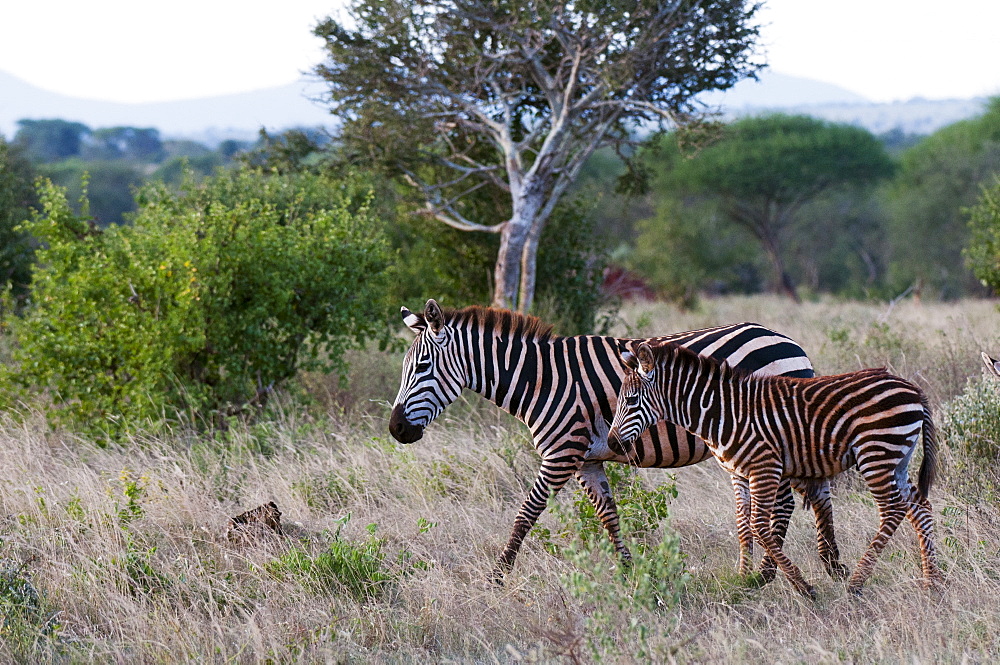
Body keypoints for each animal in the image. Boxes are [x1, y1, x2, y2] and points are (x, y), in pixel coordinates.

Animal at [608, 342, 944, 596]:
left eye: (631, 400)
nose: (612, 443)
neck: (721, 413)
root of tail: (912, 387)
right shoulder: (740, 472)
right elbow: (744, 523)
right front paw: (747, 578)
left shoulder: (765, 467)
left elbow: (759, 526)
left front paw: (803, 587)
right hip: (897, 457)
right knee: (919, 505)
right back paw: (933, 582)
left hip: (876, 452)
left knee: (892, 509)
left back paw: (857, 583)